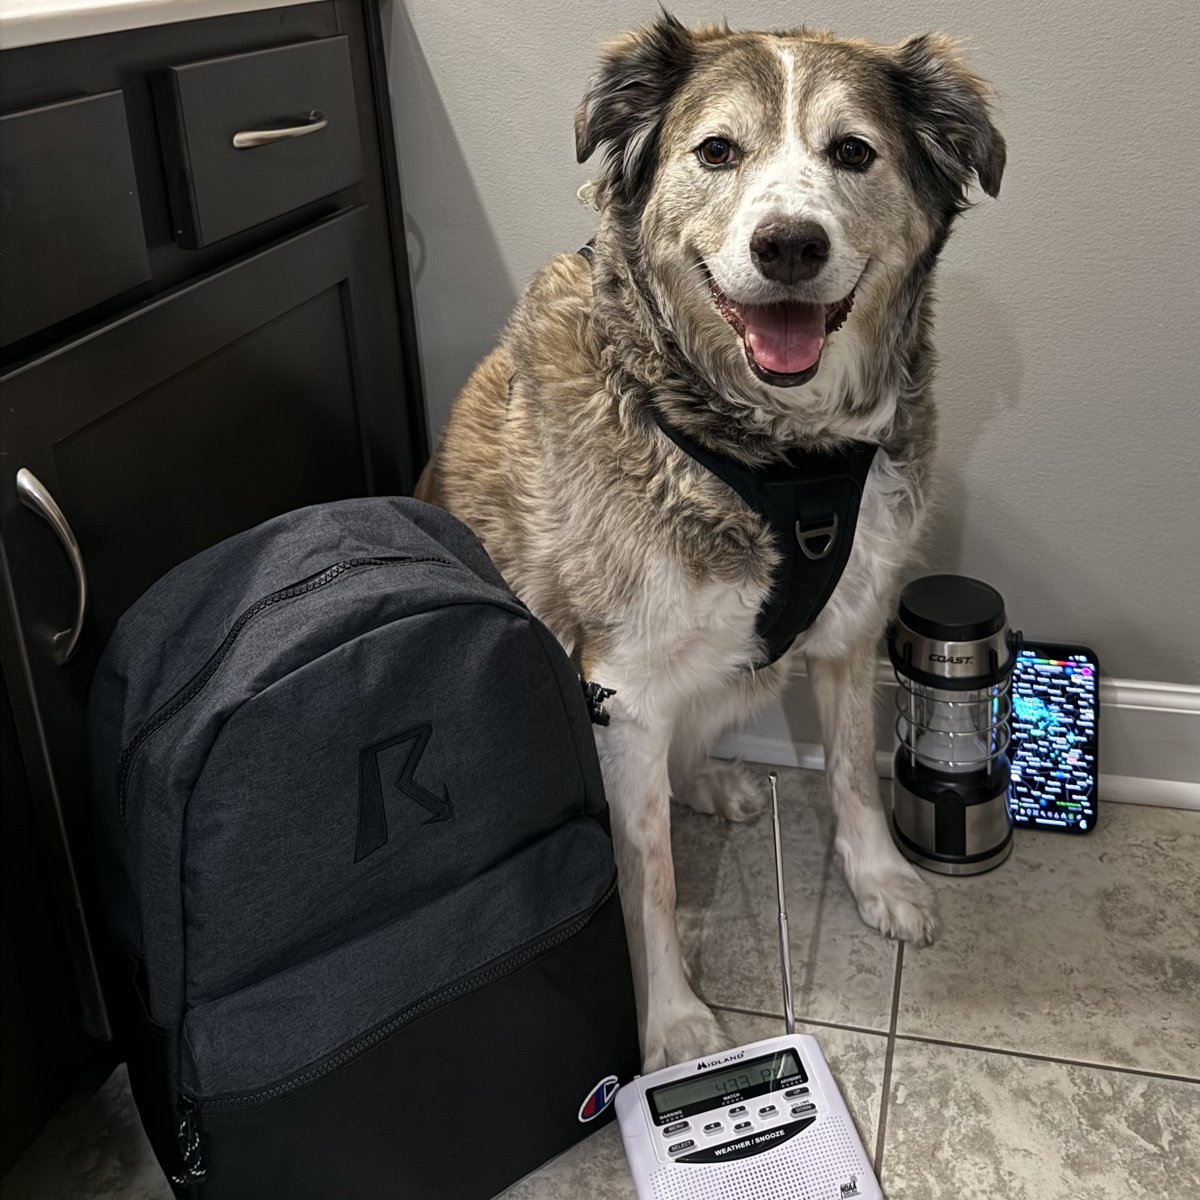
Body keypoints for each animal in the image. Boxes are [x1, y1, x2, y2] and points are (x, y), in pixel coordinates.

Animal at [417, 14, 1008, 1070]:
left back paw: (712, 783)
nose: (789, 245)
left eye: (853, 152)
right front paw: (674, 1020)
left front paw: (877, 878)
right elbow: (643, 875)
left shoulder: (852, 625)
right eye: (717, 152)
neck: (778, 456)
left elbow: (853, 771)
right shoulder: (621, 686)